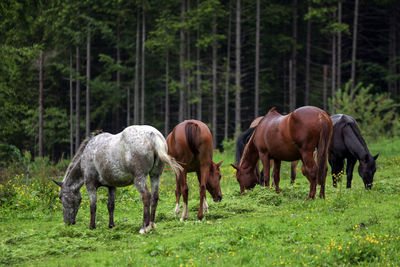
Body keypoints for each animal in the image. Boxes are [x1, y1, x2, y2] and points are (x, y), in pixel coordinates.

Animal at [54, 125, 182, 234]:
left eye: (60, 197)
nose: (67, 222)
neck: (87, 154)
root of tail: (153, 135)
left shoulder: (90, 185)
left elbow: (93, 206)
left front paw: (92, 227)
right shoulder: (112, 186)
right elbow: (111, 206)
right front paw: (111, 225)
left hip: (140, 178)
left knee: (146, 197)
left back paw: (144, 228)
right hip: (155, 175)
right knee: (154, 197)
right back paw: (152, 225)